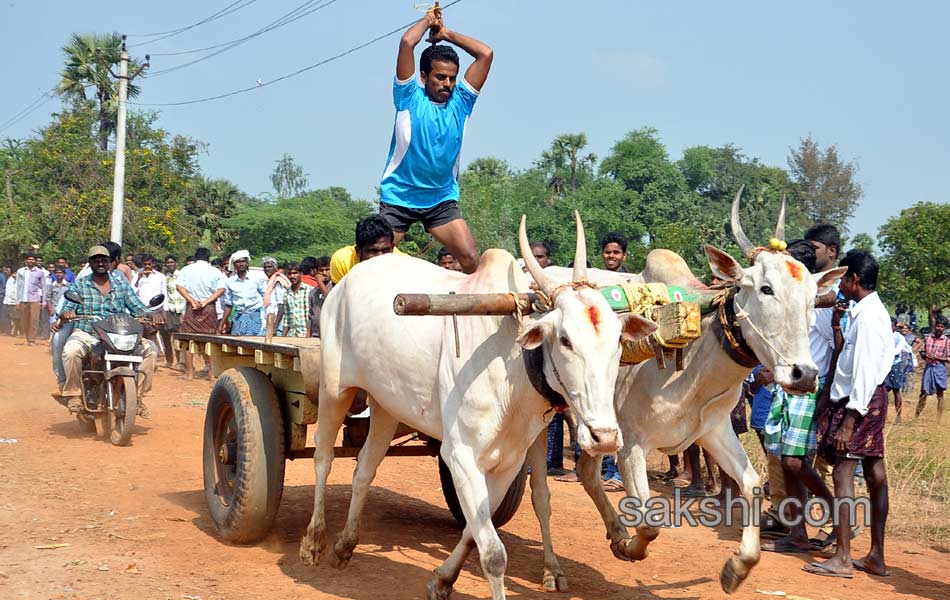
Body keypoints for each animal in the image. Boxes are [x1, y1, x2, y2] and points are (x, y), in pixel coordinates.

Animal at [302, 213, 660, 596]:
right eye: (565, 340)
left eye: (618, 341)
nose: (604, 438)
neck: (513, 367)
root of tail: (346, 283)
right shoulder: (460, 454)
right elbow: (493, 554)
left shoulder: (508, 461)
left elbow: (475, 531)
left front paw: (442, 580)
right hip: (333, 387)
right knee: (323, 457)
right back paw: (314, 541)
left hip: (386, 403)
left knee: (365, 469)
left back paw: (344, 545)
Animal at [528, 190, 848, 592]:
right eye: (766, 288)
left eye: (811, 299)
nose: (803, 375)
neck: (694, 361)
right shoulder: (631, 443)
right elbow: (650, 522)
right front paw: (632, 546)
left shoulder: (712, 430)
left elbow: (751, 485)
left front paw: (737, 567)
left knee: (586, 472)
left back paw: (615, 533)